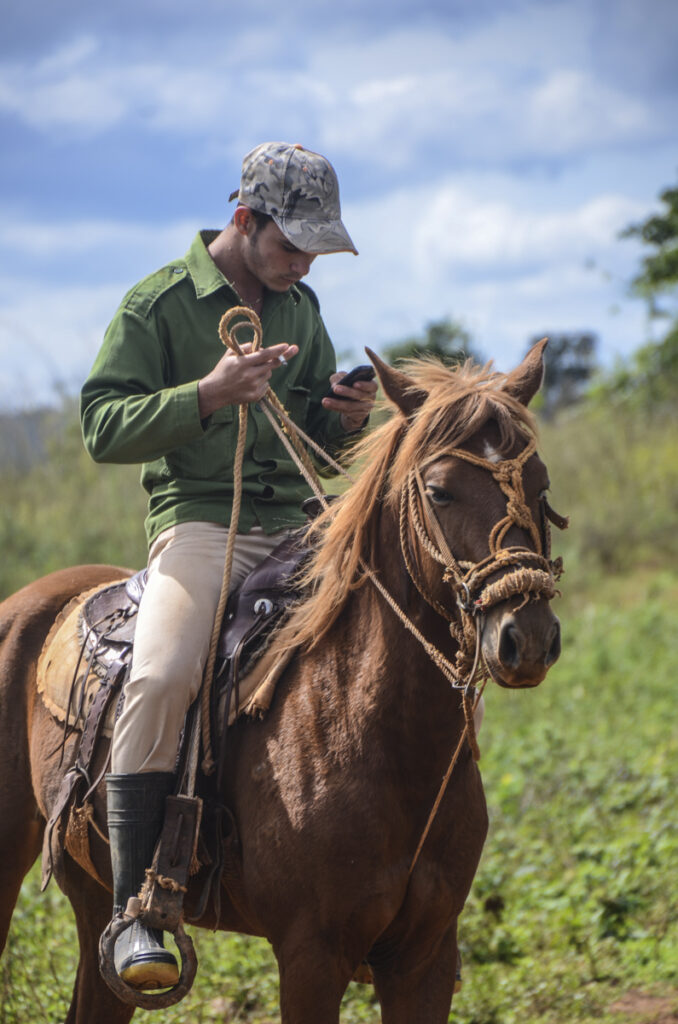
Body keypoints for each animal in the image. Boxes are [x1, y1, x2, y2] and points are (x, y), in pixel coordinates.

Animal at [0, 339, 561, 1019]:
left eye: (541, 485)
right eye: (439, 491)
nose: (526, 636)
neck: (365, 726)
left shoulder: (425, 957)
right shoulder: (311, 957)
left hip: (91, 892)